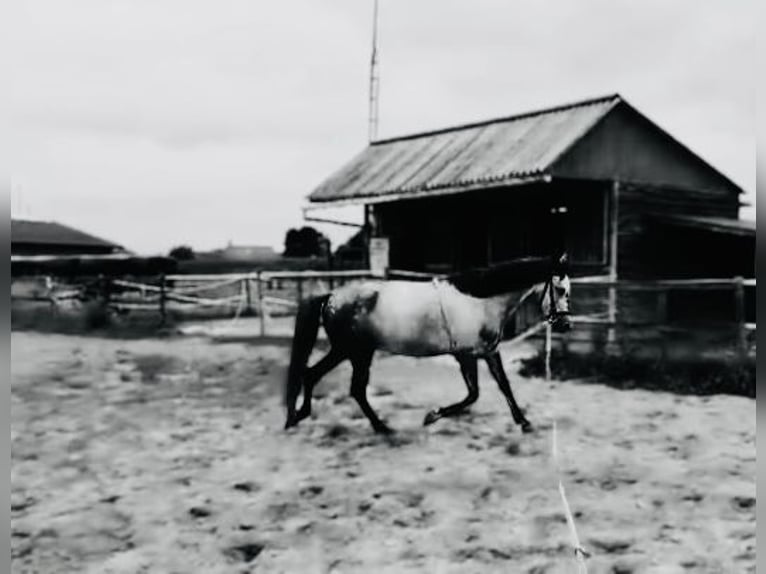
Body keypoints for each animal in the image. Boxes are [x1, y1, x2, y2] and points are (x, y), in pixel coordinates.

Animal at [284, 255, 568, 436]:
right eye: (561, 290)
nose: (565, 324)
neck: (479, 302)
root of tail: (332, 296)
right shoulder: (466, 355)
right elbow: (473, 394)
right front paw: (432, 416)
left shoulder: (488, 352)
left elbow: (503, 385)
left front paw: (524, 422)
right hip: (353, 351)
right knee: (339, 383)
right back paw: (378, 427)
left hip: (354, 352)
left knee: (328, 380)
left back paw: (300, 417)